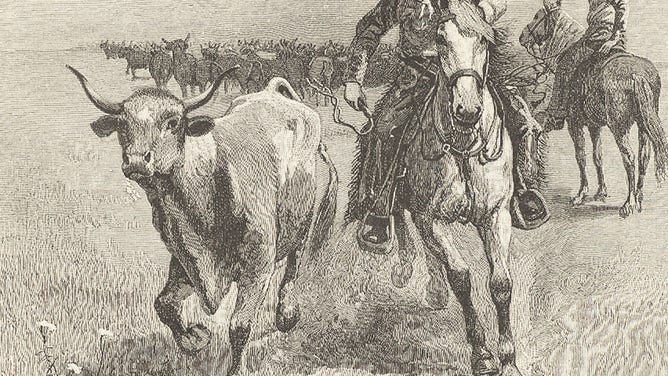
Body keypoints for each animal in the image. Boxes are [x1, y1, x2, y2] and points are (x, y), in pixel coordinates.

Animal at [69, 66, 334, 374]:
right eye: (123, 125)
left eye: (172, 123)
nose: (136, 161)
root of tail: (272, 94)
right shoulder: (185, 259)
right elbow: (164, 304)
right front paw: (195, 337)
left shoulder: (257, 266)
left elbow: (239, 325)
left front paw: (235, 368)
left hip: (303, 215)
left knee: (295, 259)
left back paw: (287, 314)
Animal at [520, 4, 664, 217]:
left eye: (538, 16)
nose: (522, 36)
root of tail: (638, 75)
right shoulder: (594, 125)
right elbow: (598, 156)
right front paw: (601, 192)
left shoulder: (575, 123)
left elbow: (581, 156)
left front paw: (581, 194)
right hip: (643, 123)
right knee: (643, 156)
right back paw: (638, 199)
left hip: (619, 127)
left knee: (629, 158)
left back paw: (628, 203)